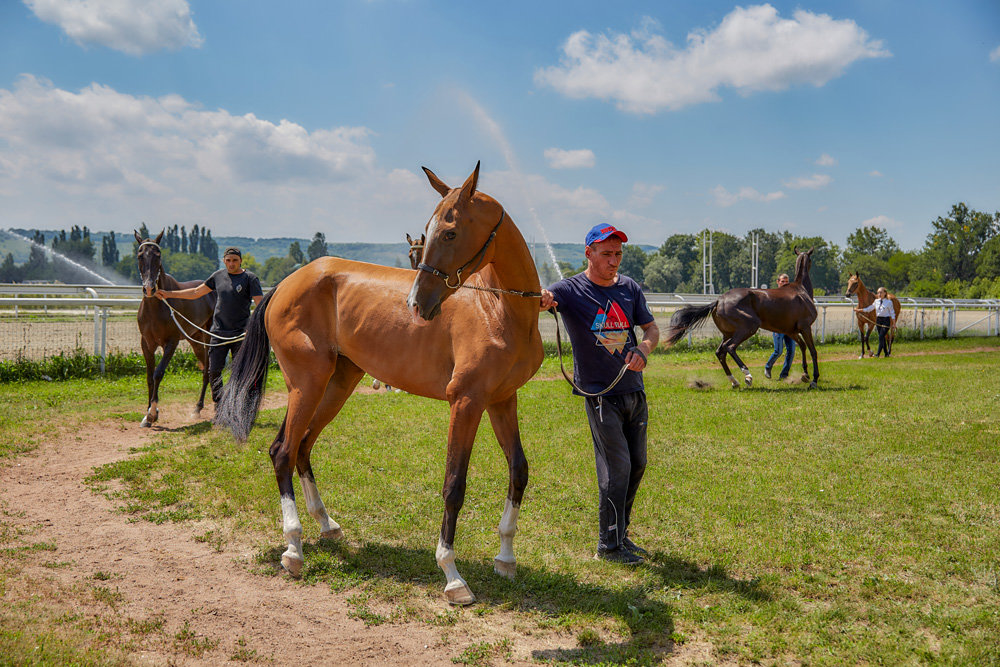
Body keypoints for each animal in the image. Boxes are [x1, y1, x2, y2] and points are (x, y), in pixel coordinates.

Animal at [135, 232, 217, 426]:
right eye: (140, 255)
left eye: (158, 255)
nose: (149, 288)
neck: (157, 306)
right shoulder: (146, 343)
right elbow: (149, 377)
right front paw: (147, 415)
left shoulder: (171, 343)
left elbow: (158, 373)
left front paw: (153, 413)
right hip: (195, 339)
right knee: (205, 367)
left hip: (209, 337)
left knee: (208, 370)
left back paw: (200, 407)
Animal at [217, 162, 548, 604]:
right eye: (429, 230)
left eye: (450, 232)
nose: (417, 304)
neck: (498, 308)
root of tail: (286, 283)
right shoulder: (465, 403)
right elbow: (454, 485)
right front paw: (452, 575)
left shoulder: (501, 401)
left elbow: (519, 471)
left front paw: (506, 558)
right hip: (307, 385)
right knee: (283, 451)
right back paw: (294, 547)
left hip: (335, 386)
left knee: (301, 447)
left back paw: (326, 525)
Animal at [664, 248, 820, 388]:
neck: (801, 290)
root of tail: (719, 301)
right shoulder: (806, 327)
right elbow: (813, 351)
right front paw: (814, 380)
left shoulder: (791, 331)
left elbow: (803, 346)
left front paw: (805, 375)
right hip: (748, 327)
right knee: (730, 347)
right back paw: (747, 375)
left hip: (728, 333)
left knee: (720, 352)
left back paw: (734, 381)